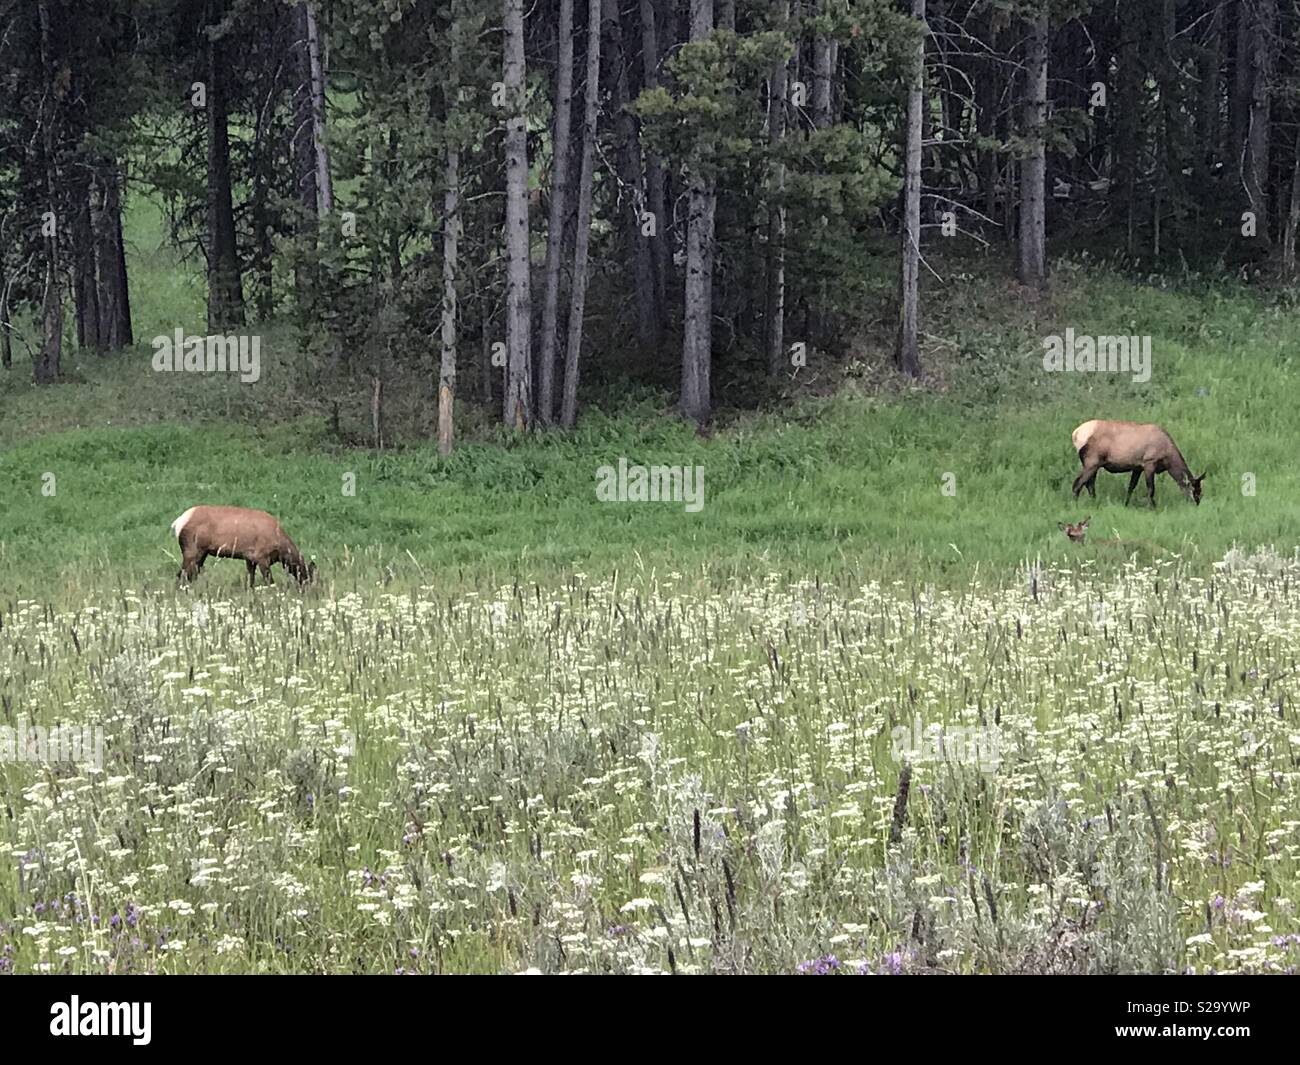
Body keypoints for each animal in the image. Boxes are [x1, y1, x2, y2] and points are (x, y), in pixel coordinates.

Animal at [171, 507, 315, 587]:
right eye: (307, 576)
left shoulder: (250, 558)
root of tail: (177, 523)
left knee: (190, 574)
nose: (310, 591)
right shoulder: (261, 556)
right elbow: (269, 580)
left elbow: (251, 580)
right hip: (192, 550)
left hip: (202, 553)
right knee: (181, 574)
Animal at [1071, 418, 1201, 507]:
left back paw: (1094, 503)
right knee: (1078, 484)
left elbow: (1131, 487)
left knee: (1089, 484)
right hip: (1092, 462)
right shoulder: (1149, 463)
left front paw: (1126, 504)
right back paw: (1076, 506)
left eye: (1200, 491)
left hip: (1094, 465)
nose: (1197, 504)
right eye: (1195, 491)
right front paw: (1152, 507)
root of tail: (1075, 434)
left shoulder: (1137, 467)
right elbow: (1151, 489)